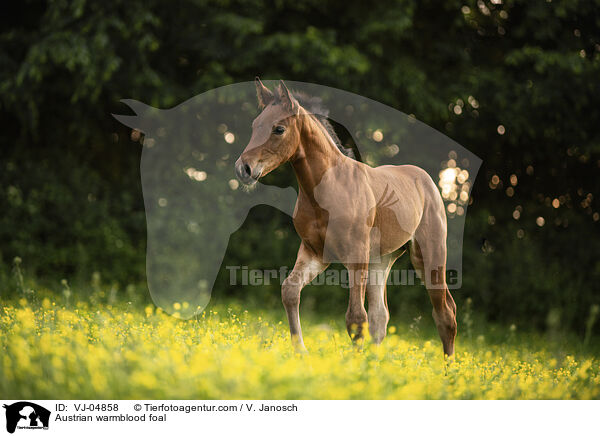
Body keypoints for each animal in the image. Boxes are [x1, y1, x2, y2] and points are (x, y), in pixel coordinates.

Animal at [234, 79, 454, 358]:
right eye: (255, 125)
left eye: (279, 129)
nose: (243, 169)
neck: (328, 189)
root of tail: (427, 180)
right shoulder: (315, 252)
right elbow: (290, 291)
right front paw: (301, 352)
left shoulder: (355, 255)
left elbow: (356, 317)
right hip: (381, 260)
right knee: (381, 316)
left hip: (429, 255)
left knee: (445, 313)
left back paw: (449, 367)